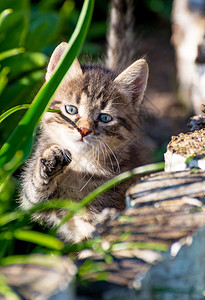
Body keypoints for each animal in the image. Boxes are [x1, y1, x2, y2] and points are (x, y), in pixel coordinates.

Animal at [20, 0, 148, 243]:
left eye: (105, 118)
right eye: (71, 110)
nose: (84, 130)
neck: (81, 164)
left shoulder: (102, 213)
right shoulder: (35, 203)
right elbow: (32, 192)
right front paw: (50, 164)